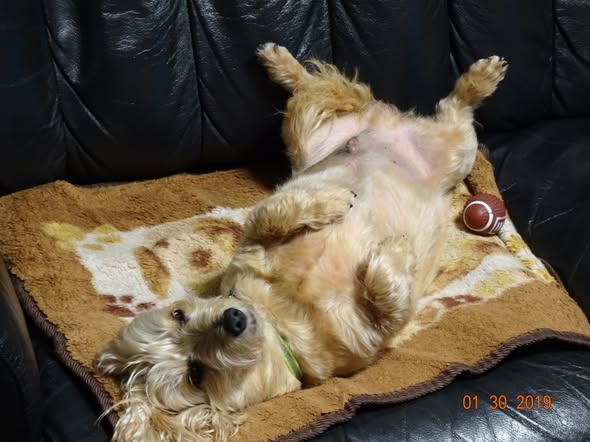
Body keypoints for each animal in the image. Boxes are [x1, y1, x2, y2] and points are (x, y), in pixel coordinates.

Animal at [96, 43, 507, 441]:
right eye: (195, 374)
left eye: (179, 314)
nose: (233, 317)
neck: (284, 320)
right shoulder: (371, 336)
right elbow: (389, 302)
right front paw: (395, 248)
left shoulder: (255, 238)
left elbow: (273, 214)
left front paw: (334, 202)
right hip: (452, 149)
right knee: (453, 109)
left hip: (312, 136)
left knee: (320, 87)